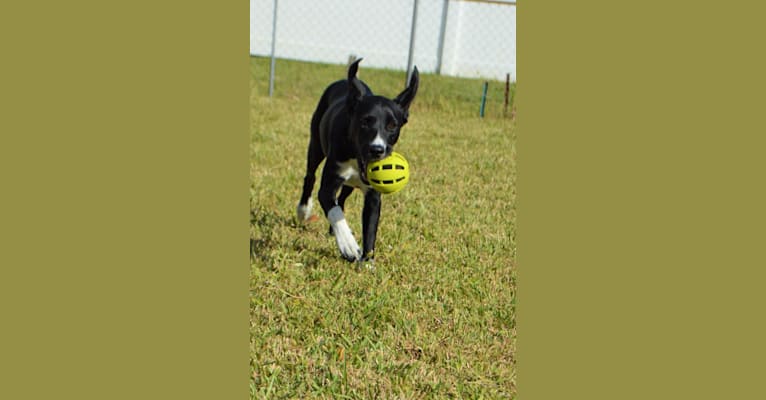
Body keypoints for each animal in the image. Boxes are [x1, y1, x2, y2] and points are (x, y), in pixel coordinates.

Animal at [298, 58, 420, 266]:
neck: (355, 157)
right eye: (365, 122)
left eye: (392, 126)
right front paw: (348, 245)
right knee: (310, 177)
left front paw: (368, 261)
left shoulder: (373, 195)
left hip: (349, 183)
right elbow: (334, 211)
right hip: (315, 145)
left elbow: (370, 226)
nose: (377, 150)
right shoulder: (328, 185)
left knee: (342, 197)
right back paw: (304, 210)